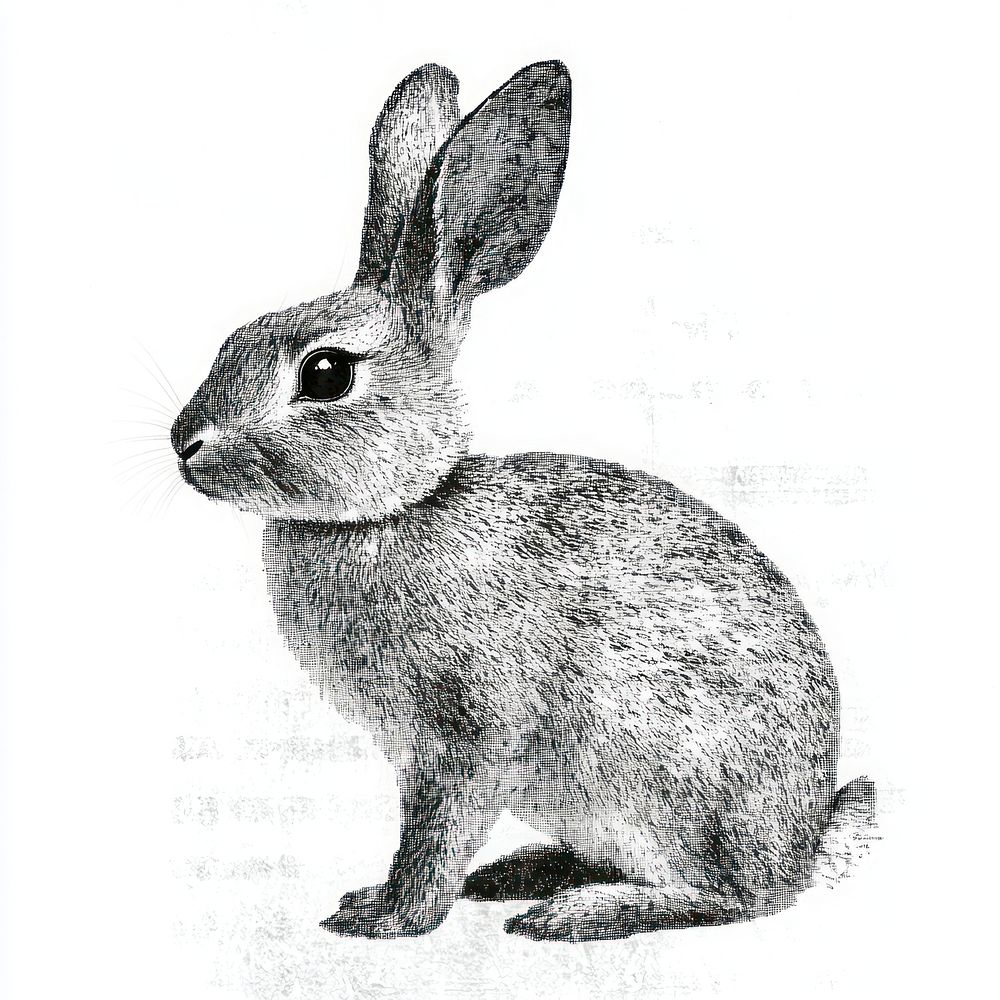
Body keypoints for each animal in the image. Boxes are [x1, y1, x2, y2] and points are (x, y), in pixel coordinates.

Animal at [170, 60, 876, 942]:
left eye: (326, 374)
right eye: (233, 339)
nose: (184, 443)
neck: (398, 507)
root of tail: (805, 843)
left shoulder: (465, 737)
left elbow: (435, 834)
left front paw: (387, 919)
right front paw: (375, 904)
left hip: (668, 787)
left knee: (735, 899)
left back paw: (580, 910)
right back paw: (525, 872)